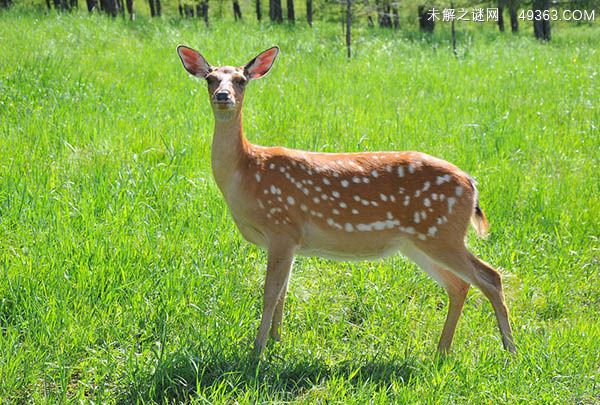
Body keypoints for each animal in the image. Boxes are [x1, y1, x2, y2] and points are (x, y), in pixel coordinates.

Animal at [175, 44, 516, 354]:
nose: (223, 96)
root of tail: (470, 183)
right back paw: (442, 350)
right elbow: (284, 292)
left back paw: (509, 350)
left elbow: (270, 293)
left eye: (241, 80)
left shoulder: (282, 227)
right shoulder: (290, 240)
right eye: (210, 79)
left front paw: (257, 350)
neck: (246, 172)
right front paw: (276, 341)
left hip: (441, 232)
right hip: (417, 241)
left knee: (490, 276)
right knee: (459, 285)